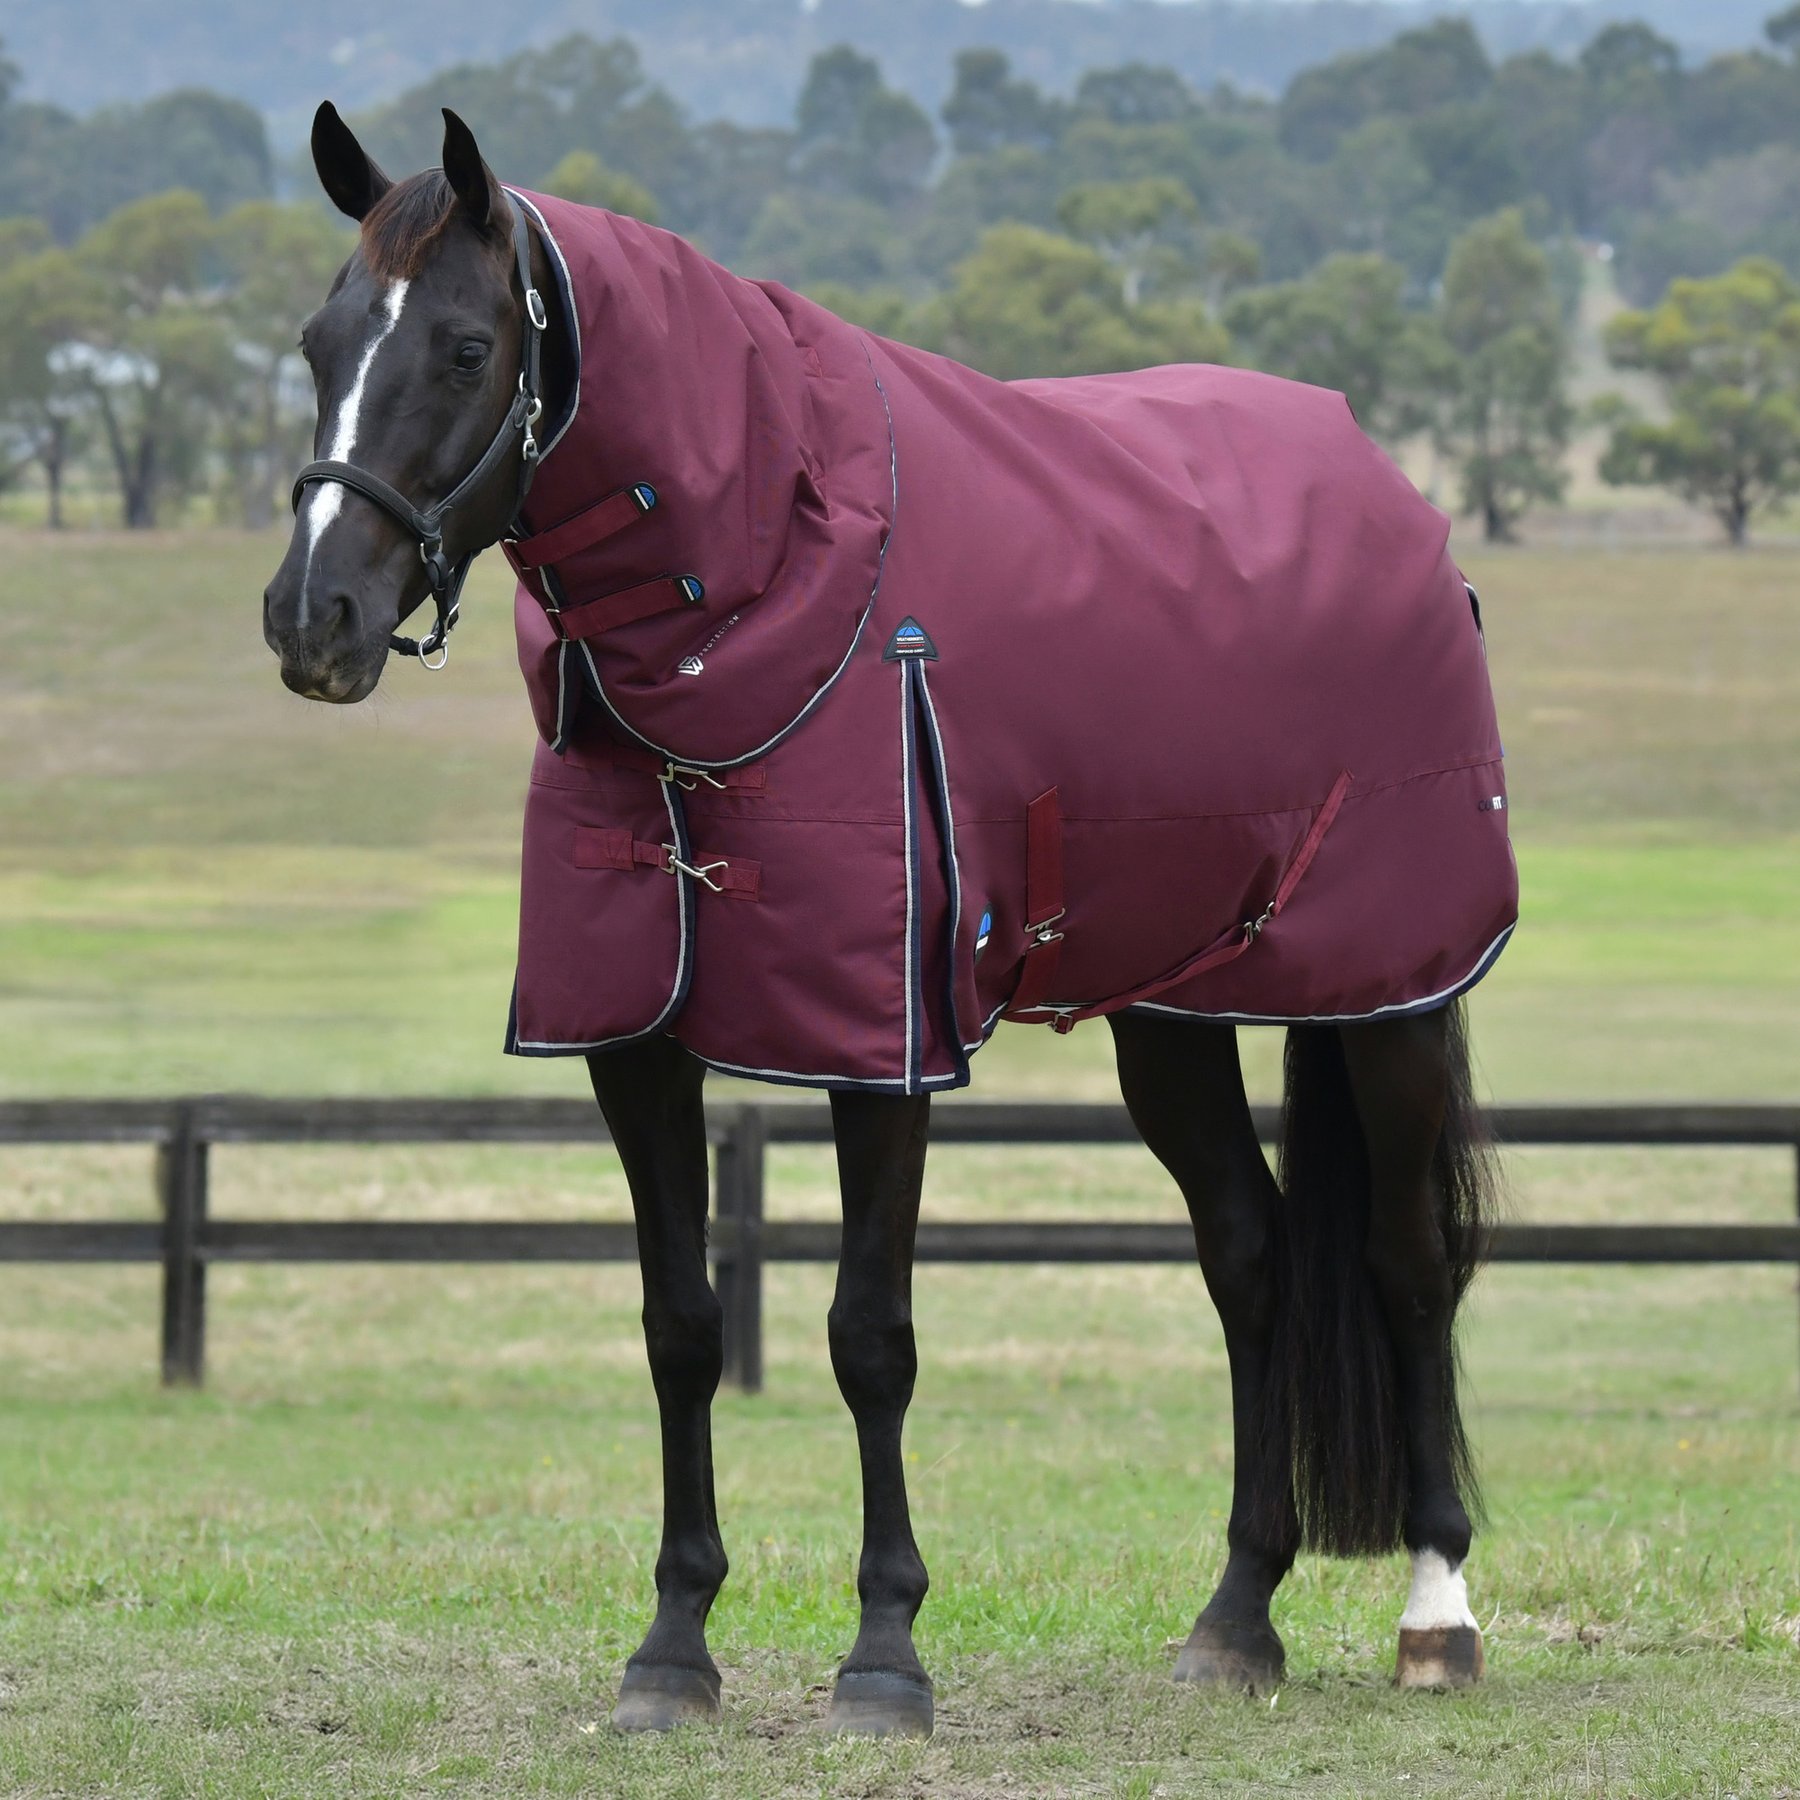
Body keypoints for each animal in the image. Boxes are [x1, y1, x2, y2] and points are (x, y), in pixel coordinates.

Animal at [262, 104, 1514, 1737]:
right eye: (318, 340)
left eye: (469, 347)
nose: (313, 621)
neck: (771, 590)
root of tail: (1397, 506)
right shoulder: (633, 1042)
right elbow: (681, 1326)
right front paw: (673, 1650)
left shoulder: (882, 1043)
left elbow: (871, 1335)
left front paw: (883, 1655)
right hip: (1175, 1011)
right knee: (1249, 1253)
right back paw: (1236, 1617)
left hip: (1390, 995)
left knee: (1408, 1261)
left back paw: (1439, 1612)